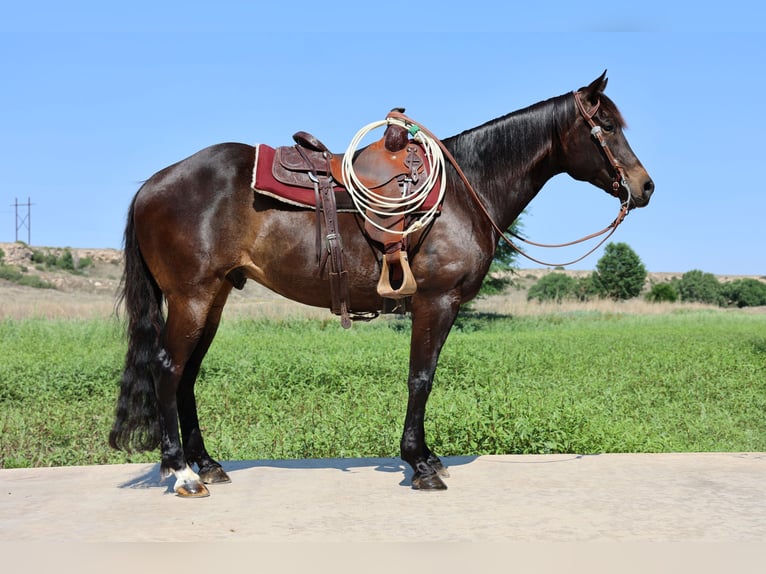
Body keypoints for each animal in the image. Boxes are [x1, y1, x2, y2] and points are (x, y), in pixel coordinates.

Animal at [111, 74, 656, 500]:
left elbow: (425, 377)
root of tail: (152, 184)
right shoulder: (436, 302)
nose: (645, 186)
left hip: (215, 298)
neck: (463, 193)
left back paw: (207, 465)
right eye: (607, 127)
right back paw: (181, 472)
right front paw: (419, 464)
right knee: (168, 369)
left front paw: (427, 457)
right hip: (192, 297)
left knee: (187, 375)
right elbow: (421, 378)